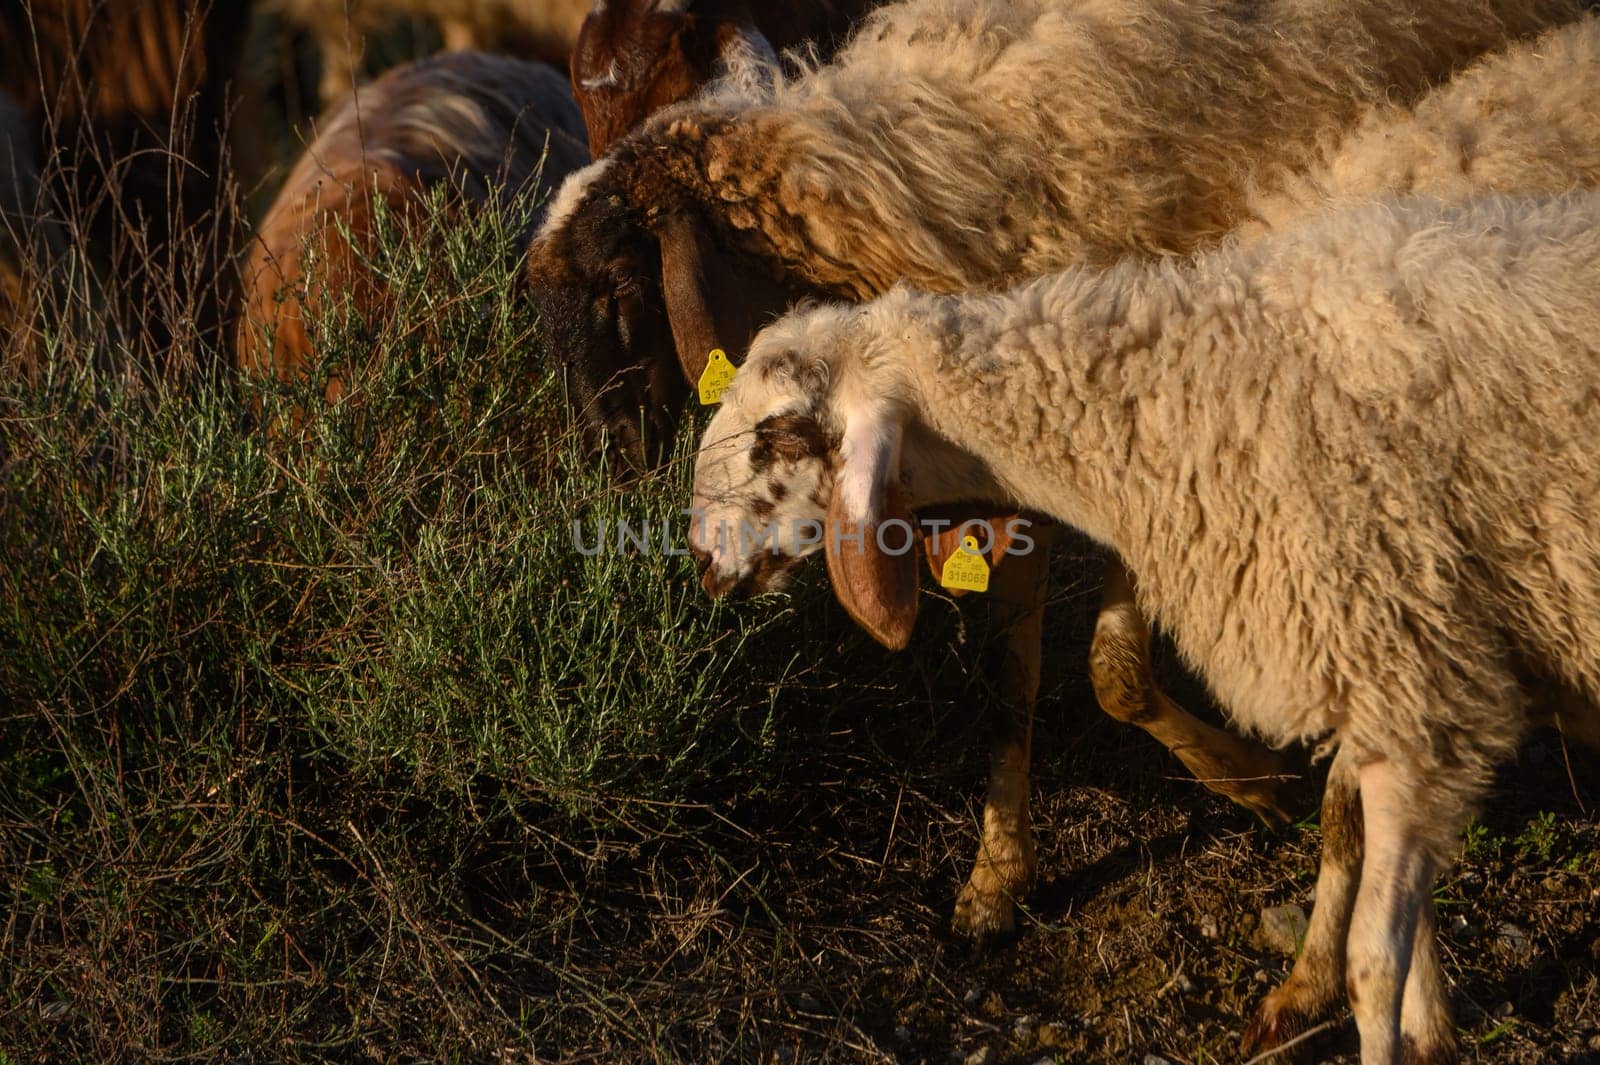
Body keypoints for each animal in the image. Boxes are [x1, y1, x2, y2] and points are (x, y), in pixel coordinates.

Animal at [694, 191, 1600, 1061]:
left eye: (779, 435)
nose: (701, 555)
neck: (1182, 395)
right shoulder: (1411, 683)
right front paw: (1430, 1030)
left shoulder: (1409, 675)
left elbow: (1376, 964)